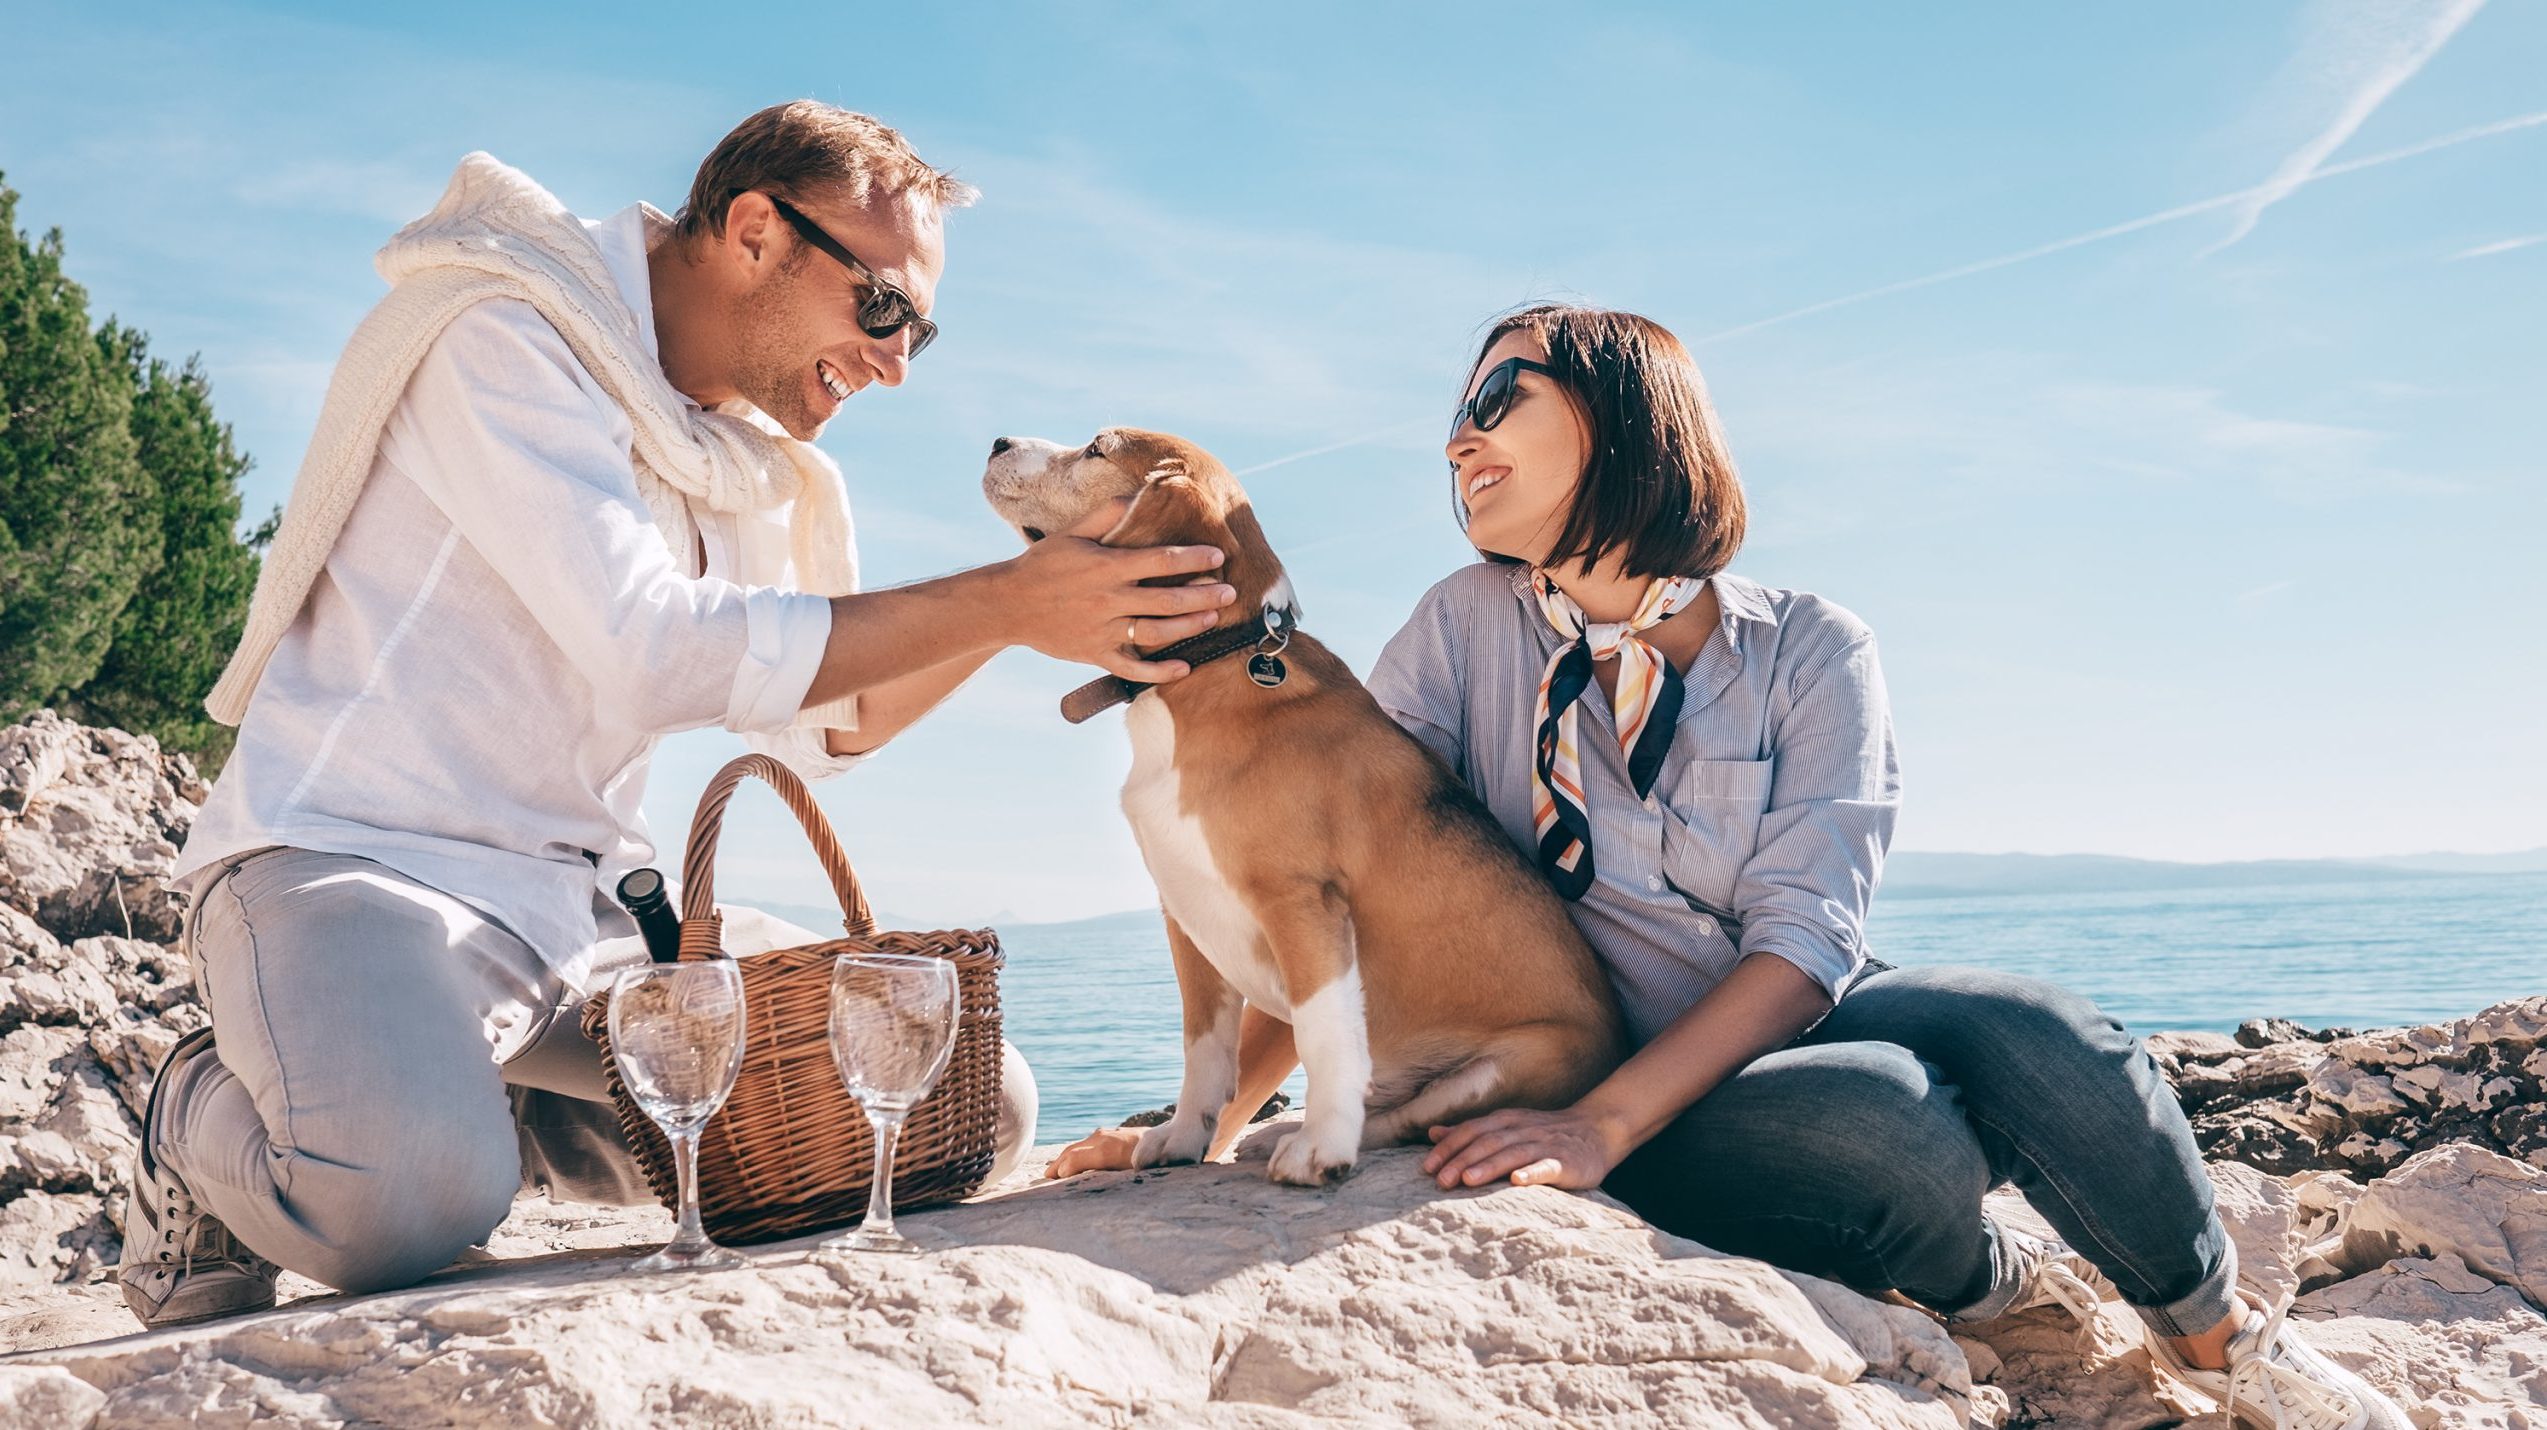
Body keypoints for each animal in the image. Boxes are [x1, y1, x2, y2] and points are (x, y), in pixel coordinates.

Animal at [983, 423, 1619, 1182]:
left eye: (1096, 450)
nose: (997, 441)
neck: (1213, 666)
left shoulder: (1301, 904)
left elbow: (1322, 1038)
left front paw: (1321, 1148)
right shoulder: (1185, 919)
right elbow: (1204, 1053)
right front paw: (1178, 1140)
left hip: (1517, 1062)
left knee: (1411, 1121)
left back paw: (1305, 1136)